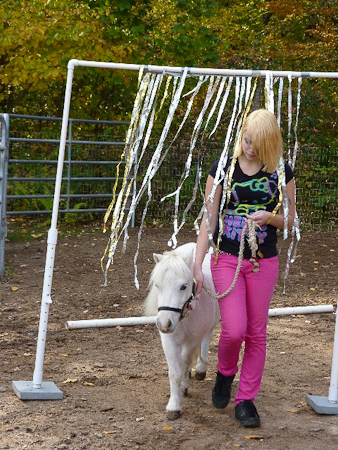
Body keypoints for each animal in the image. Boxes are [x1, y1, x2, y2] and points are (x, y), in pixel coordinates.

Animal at [143, 241, 219, 420]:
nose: (164, 324)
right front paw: (174, 406)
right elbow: (175, 372)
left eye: (183, 286)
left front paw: (184, 386)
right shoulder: (169, 341)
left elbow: (185, 361)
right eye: (157, 285)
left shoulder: (193, 339)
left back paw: (200, 369)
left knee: (206, 340)